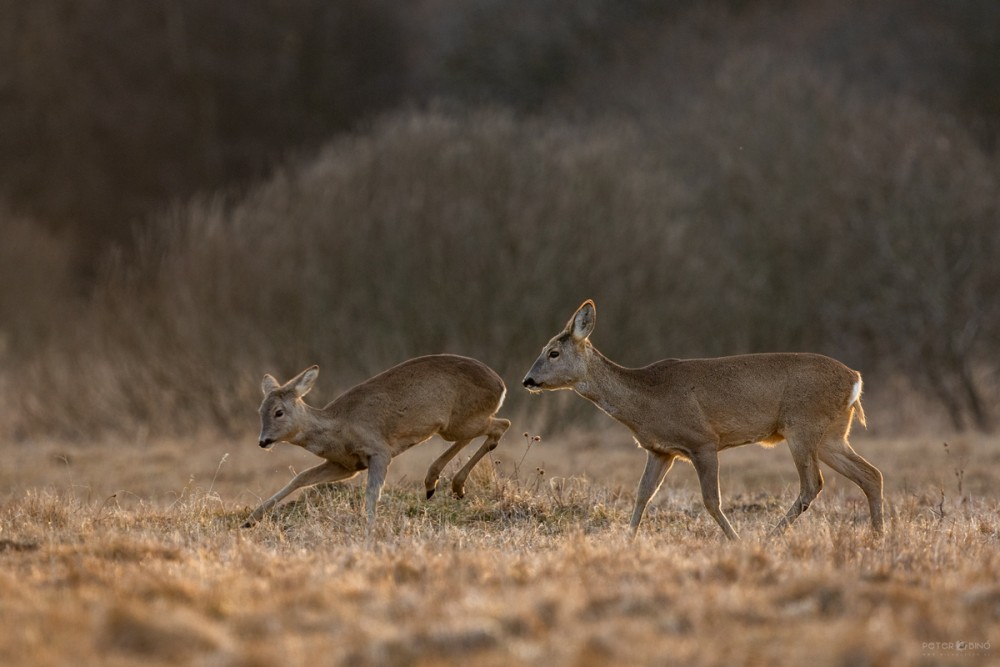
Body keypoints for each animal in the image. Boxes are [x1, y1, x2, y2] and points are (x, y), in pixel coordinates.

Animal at [241, 358, 508, 536]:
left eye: (279, 412)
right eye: (260, 410)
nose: (263, 441)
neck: (339, 428)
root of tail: (501, 385)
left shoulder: (379, 450)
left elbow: (372, 492)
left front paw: (369, 530)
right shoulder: (345, 465)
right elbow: (301, 477)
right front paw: (250, 520)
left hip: (459, 421)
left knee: (501, 425)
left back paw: (446, 483)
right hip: (456, 424)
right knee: (490, 428)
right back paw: (440, 484)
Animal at [524, 302, 884, 544]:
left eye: (553, 352)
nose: (528, 380)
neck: (646, 400)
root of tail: (855, 379)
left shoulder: (703, 441)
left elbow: (711, 501)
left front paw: (736, 541)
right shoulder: (659, 451)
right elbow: (642, 495)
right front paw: (627, 542)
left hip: (804, 426)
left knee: (814, 483)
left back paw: (770, 537)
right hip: (832, 436)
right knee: (871, 474)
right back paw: (878, 537)